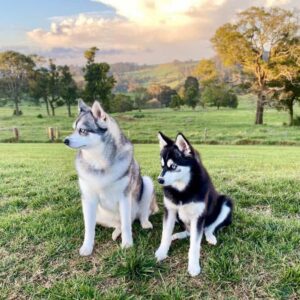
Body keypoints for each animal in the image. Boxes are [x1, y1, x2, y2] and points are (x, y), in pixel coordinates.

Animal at [156, 132, 233, 276]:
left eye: (173, 166)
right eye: (162, 166)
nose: (160, 180)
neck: (183, 189)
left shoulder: (198, 217)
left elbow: (195, 245)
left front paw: (193, 266)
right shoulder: (170, 210)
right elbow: (165, 233)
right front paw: (162, 252)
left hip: (226, 202)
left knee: (208, 228)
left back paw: (210, 237)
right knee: (188, 232)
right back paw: (177, 235)